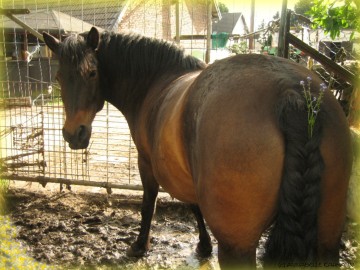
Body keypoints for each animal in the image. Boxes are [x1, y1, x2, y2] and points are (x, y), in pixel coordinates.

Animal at [43, 27, 352, 268]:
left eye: (92, 72)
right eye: (58, 78)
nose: (73, 134)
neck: (157, 82)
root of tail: (291, 92)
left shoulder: (148, 163)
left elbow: (151, 204)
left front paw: (141, 245)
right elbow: (194, 206)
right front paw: (203, 245)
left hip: (237, 246)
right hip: (328, 238)